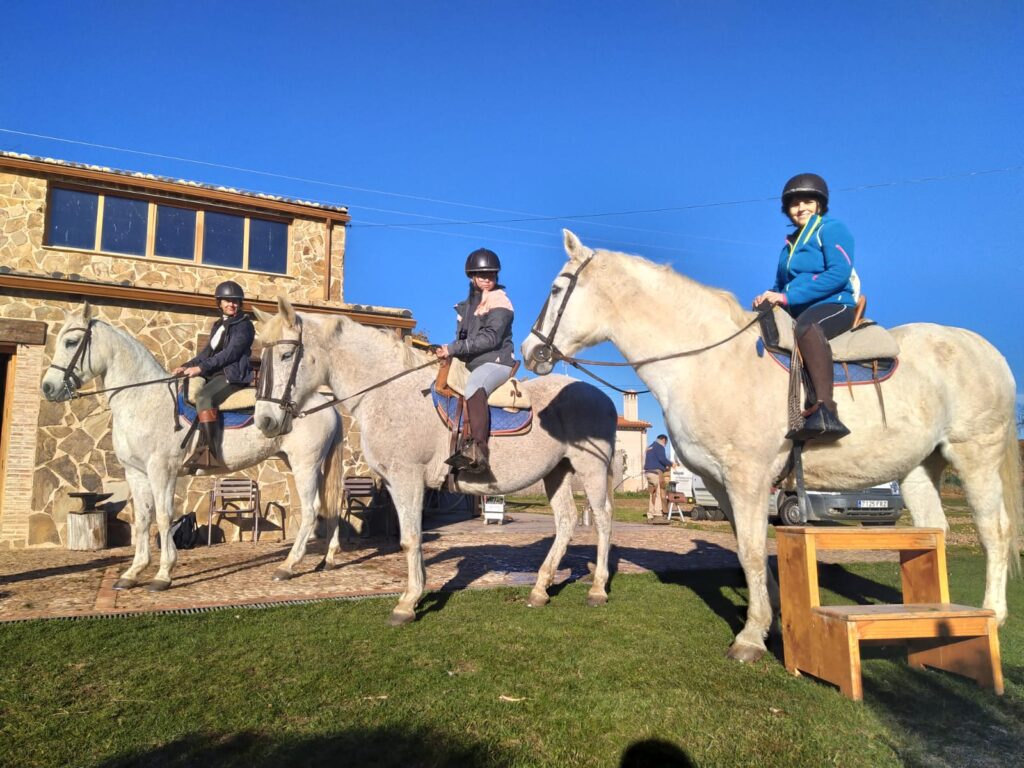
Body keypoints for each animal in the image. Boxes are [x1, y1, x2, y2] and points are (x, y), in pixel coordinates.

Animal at [41, 303, 346, 593]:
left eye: (71, 342)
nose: (47, 388)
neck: (142, 398)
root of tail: (324, 403)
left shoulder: (162, 470)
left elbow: (164, 517)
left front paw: (163, 574)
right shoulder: (135, 472)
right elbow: (143, 518)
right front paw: (133, 573)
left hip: (305, 465)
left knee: (311, 509)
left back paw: (288, 565)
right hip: (300, 463)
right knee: (328, 505)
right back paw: (328, 559)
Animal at [249, 296, 614, 626]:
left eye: (286, 354)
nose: (265, 421)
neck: (389, 392)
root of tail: (603, 397)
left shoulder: (408, 477)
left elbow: (411, 538)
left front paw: (407, 603)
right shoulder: (396, 482)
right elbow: (409, 538)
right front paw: (416, 592)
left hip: (592, 470)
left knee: (603, 518)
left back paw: (597, 589)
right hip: (558, 472)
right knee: (566, 521)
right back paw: (539, 589)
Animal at [524, 231, 1019, 663]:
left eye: (555, 288)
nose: (531, 351)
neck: (709, 361)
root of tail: (983, 348)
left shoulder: (748, 478)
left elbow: (749, 551)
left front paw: (750, 638)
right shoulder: (720, 482)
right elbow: (750, 552)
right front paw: (773, 620)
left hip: (974, 455)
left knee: (994, 530)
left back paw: (994, 615)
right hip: (920, 469)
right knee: (935, 531)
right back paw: (936, 618)